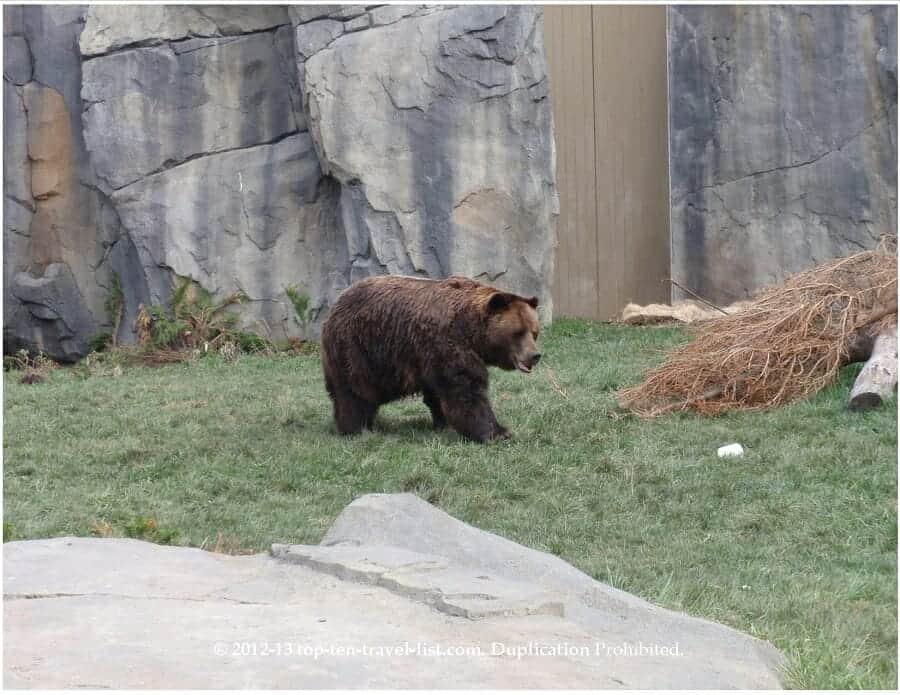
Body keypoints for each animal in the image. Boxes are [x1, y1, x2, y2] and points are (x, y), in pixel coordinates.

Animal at [321, 275, 542, 442]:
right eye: (518, 332)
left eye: (534, 332)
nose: (534, 355)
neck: (471, 330)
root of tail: (334, 307)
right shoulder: (448, 342)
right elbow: (466, 391)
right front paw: (498, 432)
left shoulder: (431, 355)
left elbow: (438, 393)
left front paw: (443, 423)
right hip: (358, 346)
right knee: (354, 390)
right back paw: (356, 428)